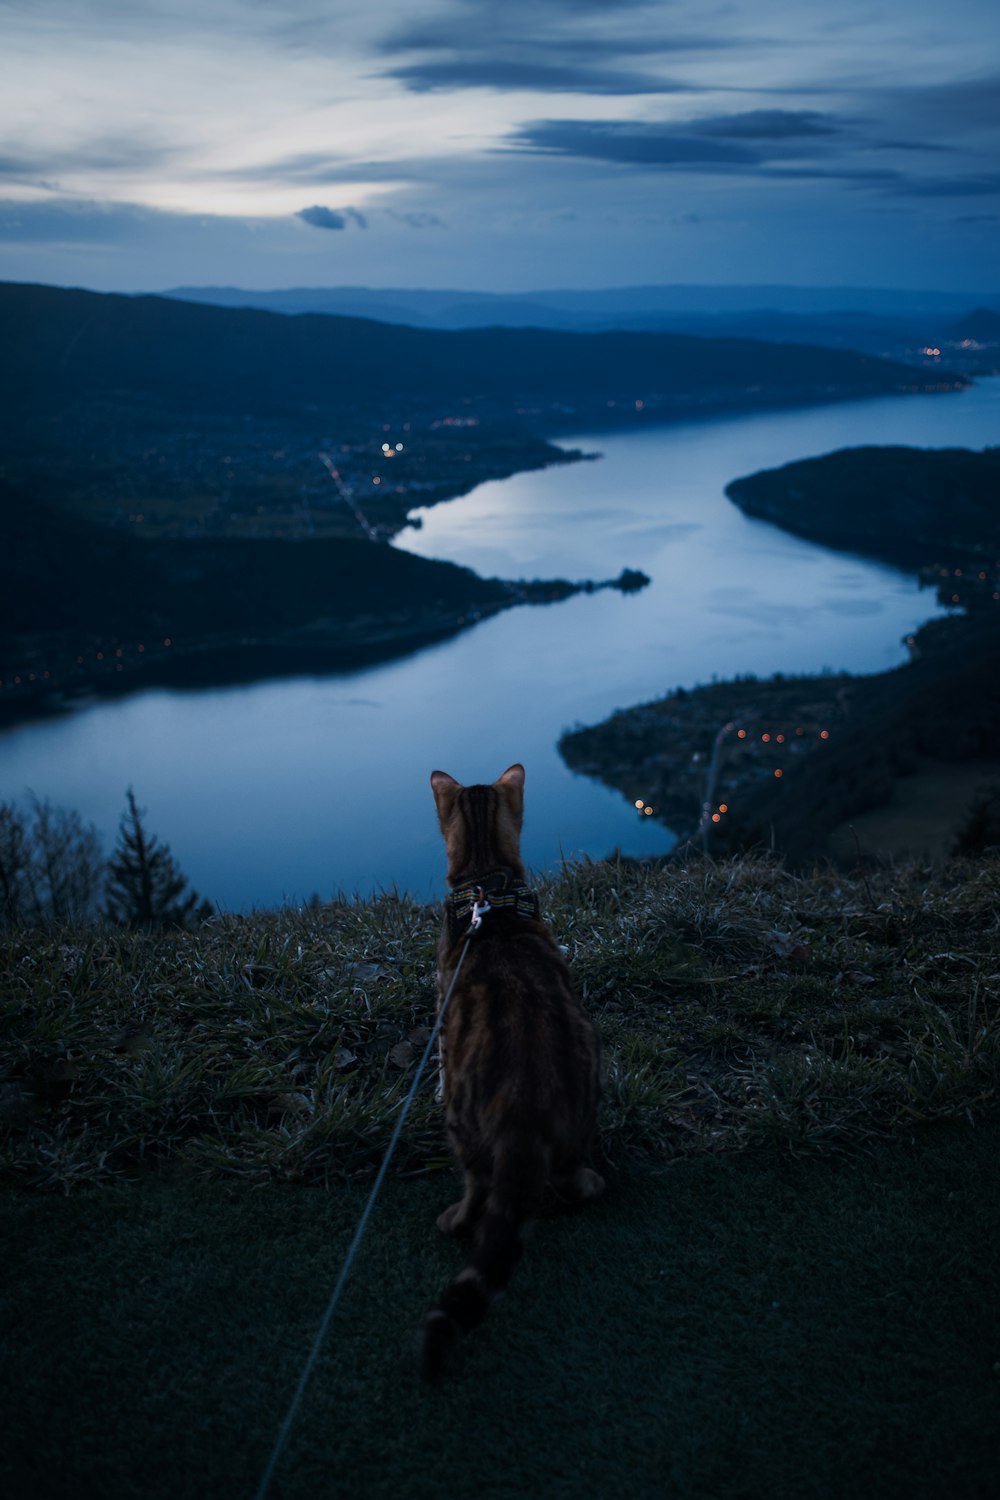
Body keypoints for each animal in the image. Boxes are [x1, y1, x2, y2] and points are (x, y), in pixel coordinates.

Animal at [419, 762, 602, 1380]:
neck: (488, 888)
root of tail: (527, 1099)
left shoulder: (441, 1002)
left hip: (464, 1126)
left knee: (478, 1190)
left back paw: (454, 1218)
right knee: (568, 1176)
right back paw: (591, 1182)